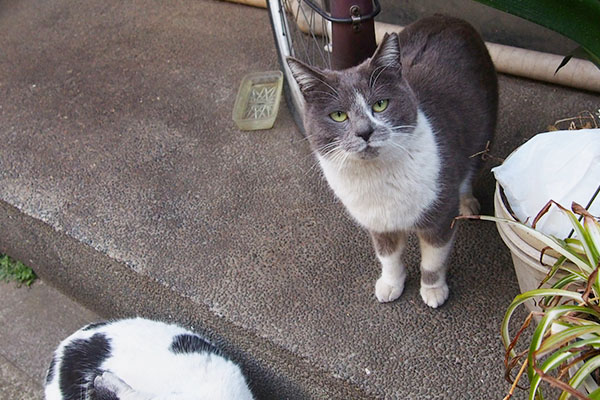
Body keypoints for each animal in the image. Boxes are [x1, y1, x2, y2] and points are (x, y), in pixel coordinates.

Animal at [286, 14, 496, 310]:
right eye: (338, 115)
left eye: (381, 104)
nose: (365, 131)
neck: (377, 177)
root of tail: (448, 18)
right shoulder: (378, 223)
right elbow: (388, 257)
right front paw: (390, 284)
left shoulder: (439, 214)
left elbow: (433, 260)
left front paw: (433, 291)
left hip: (483, 133)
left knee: (469, 171)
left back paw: (467, 203)